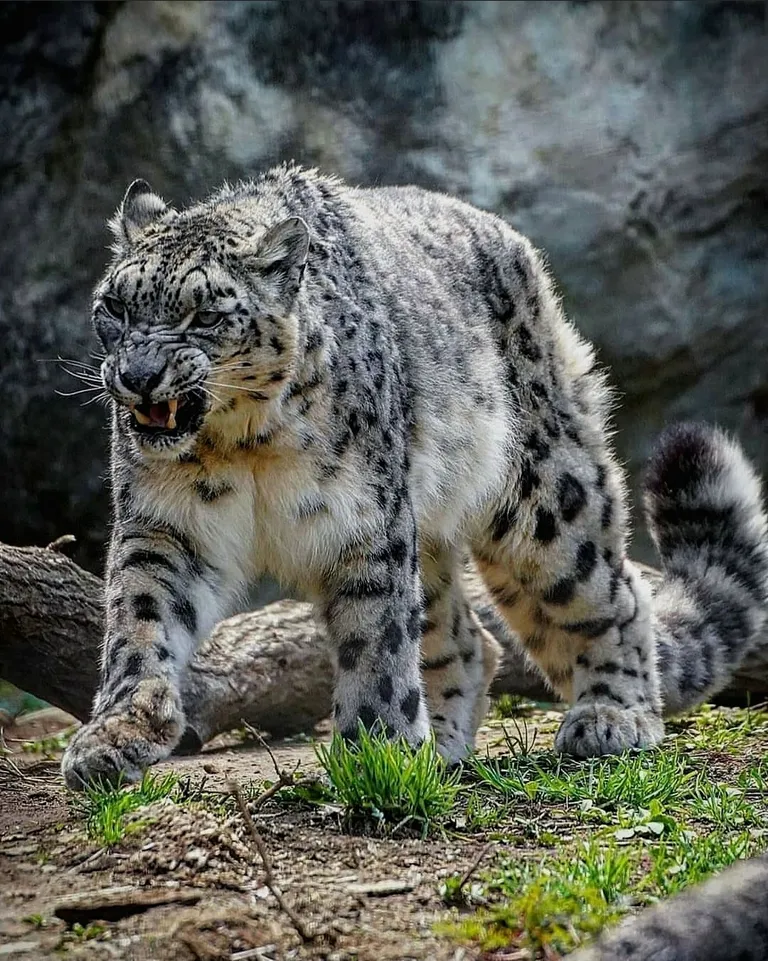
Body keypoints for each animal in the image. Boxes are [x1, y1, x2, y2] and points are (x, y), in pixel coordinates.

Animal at [61, 164, 768, 789]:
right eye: (116, 306)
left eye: (204, 315)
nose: (139, 375)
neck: (240, 445)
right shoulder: (167, 526)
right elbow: (141, 620)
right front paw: (116, 735)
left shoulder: (362, 522)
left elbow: (375, 640)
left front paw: (376, 749)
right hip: (426, 529)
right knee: (464, 636)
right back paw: (444, 746)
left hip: (544, 499)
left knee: (610, 593)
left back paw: (612, 716)